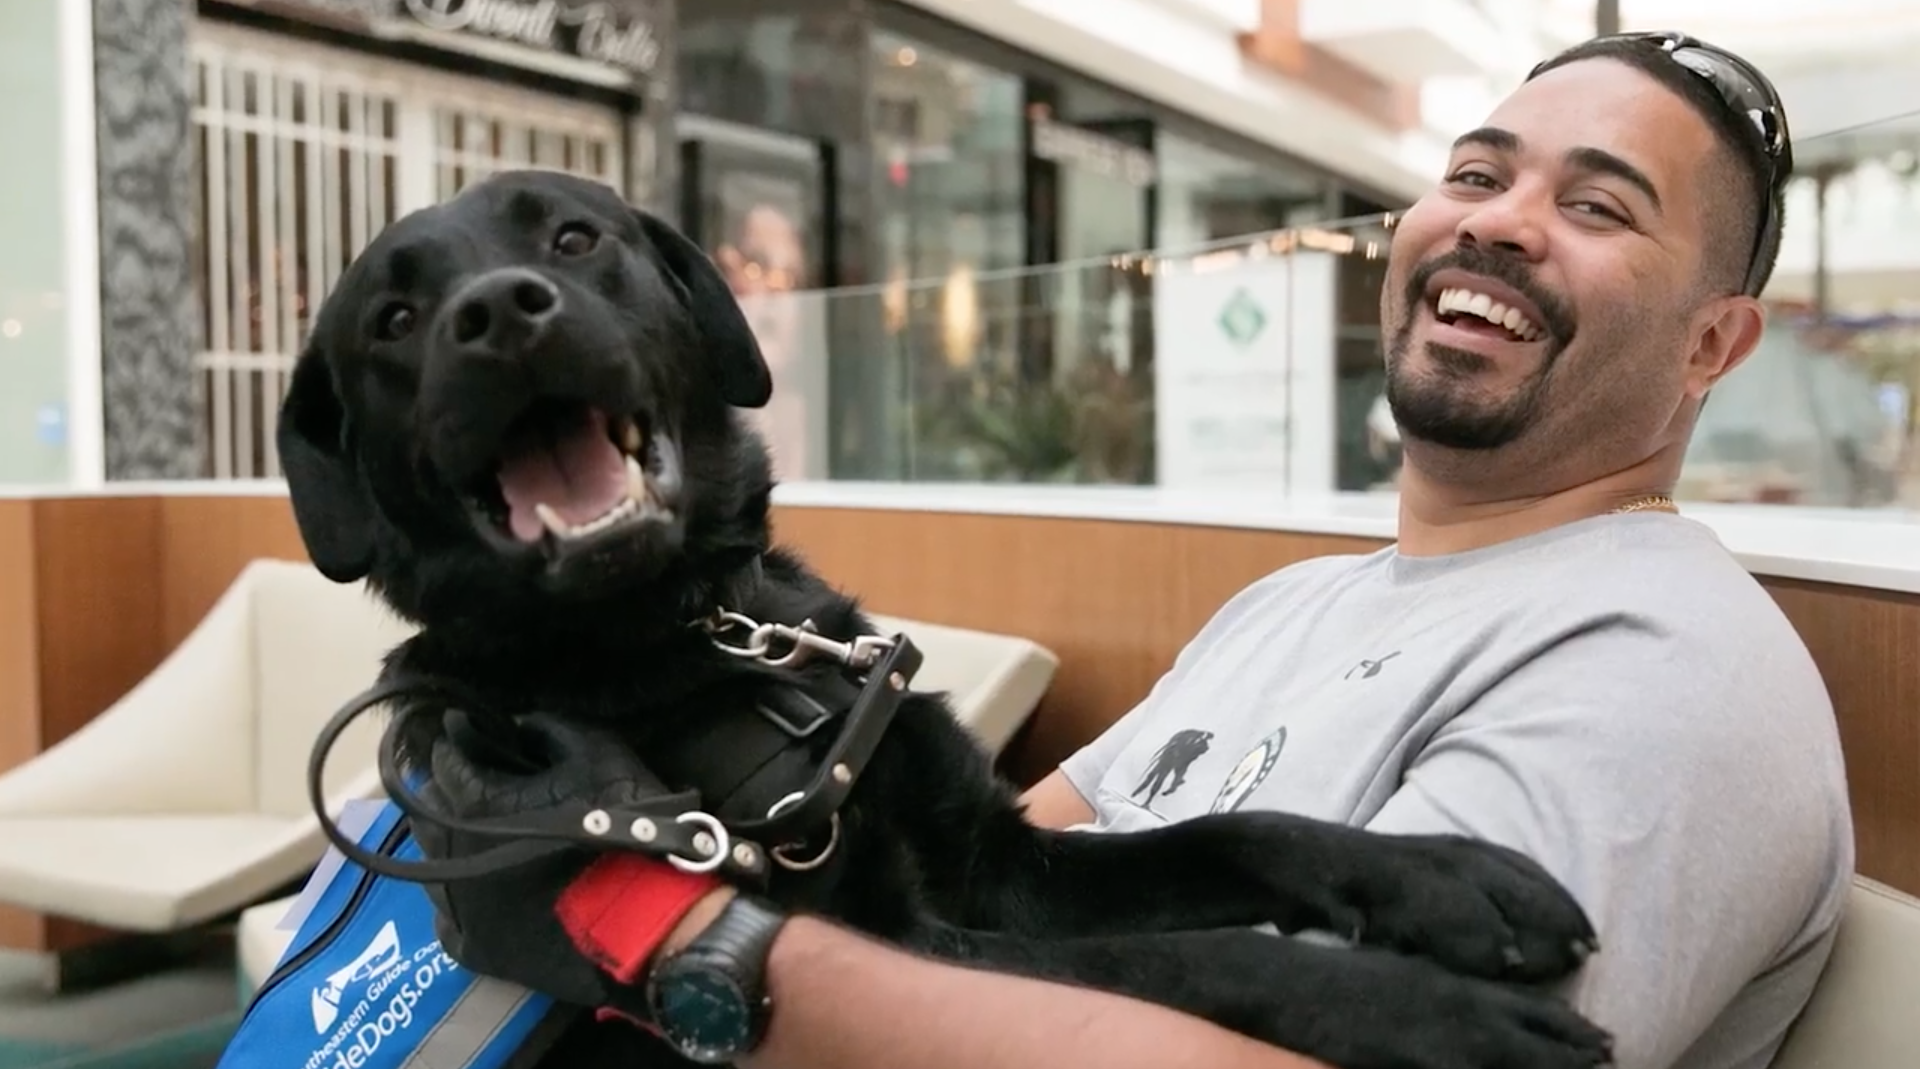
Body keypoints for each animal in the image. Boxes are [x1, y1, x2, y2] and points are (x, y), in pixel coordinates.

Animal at [278, 170, 1612, 1067]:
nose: (499, 312)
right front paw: (1429, 1012)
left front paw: (1443, 878)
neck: (707, 640)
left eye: (571, 236)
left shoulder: (996, 862)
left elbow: (1243, 835)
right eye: (391, 322)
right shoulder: (908, 936)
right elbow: (1177, 962)